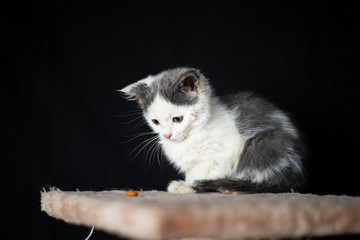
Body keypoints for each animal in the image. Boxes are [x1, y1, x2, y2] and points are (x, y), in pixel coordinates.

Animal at [120, 67, 306, 193]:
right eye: (155, 122)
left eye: (177, 119)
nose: (167, 134)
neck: (192, 134)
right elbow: (192, 171)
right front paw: (185, 184)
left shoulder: (224, 153)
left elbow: (201, 173)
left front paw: (187, 186)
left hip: (262, 145)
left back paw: (231, 187)